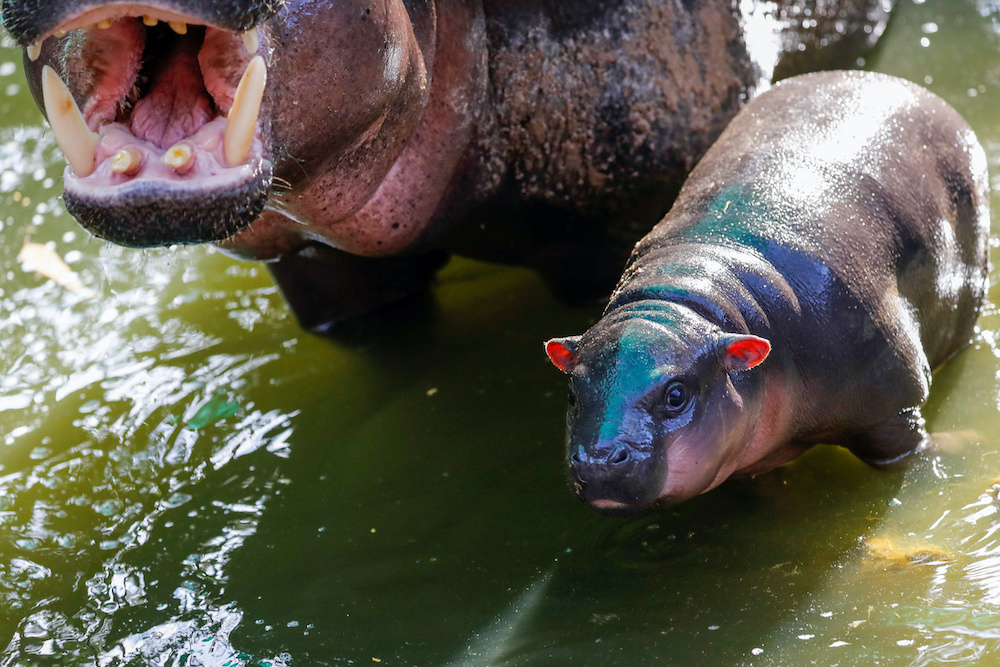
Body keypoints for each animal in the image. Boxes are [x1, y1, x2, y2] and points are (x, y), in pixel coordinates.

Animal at [544, 70, 990, 516]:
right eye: (571, 394)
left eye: (676, 395)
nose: (599, 459)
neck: (688, 302)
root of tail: (881, 77)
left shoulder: (893, 403)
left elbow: (905, 450)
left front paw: (960, 448)